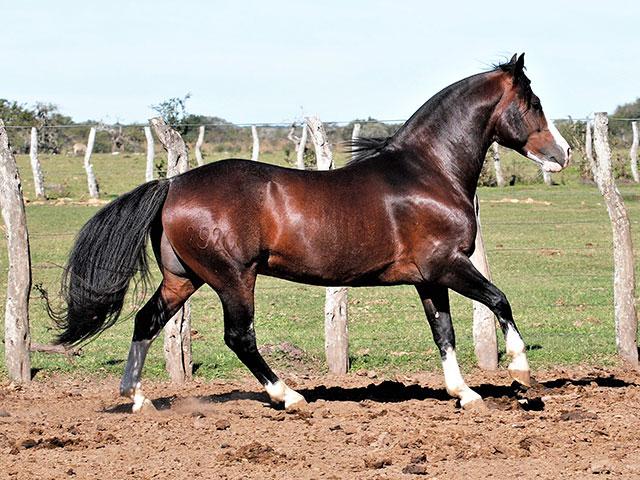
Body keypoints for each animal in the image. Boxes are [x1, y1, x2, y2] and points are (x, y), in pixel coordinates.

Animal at [51, 53, 568, 412]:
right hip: (233, 278)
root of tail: (173, 184)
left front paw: (465, 394)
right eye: (533, 103)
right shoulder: (448, 264)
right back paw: (290, 397)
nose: (562, 154)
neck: (428, 172)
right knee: (239, 337)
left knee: (146, 321)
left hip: (184, 278)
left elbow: (444, 332)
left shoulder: (430, 278)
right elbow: (499, 300)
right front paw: (522, 375)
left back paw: (139, 399)